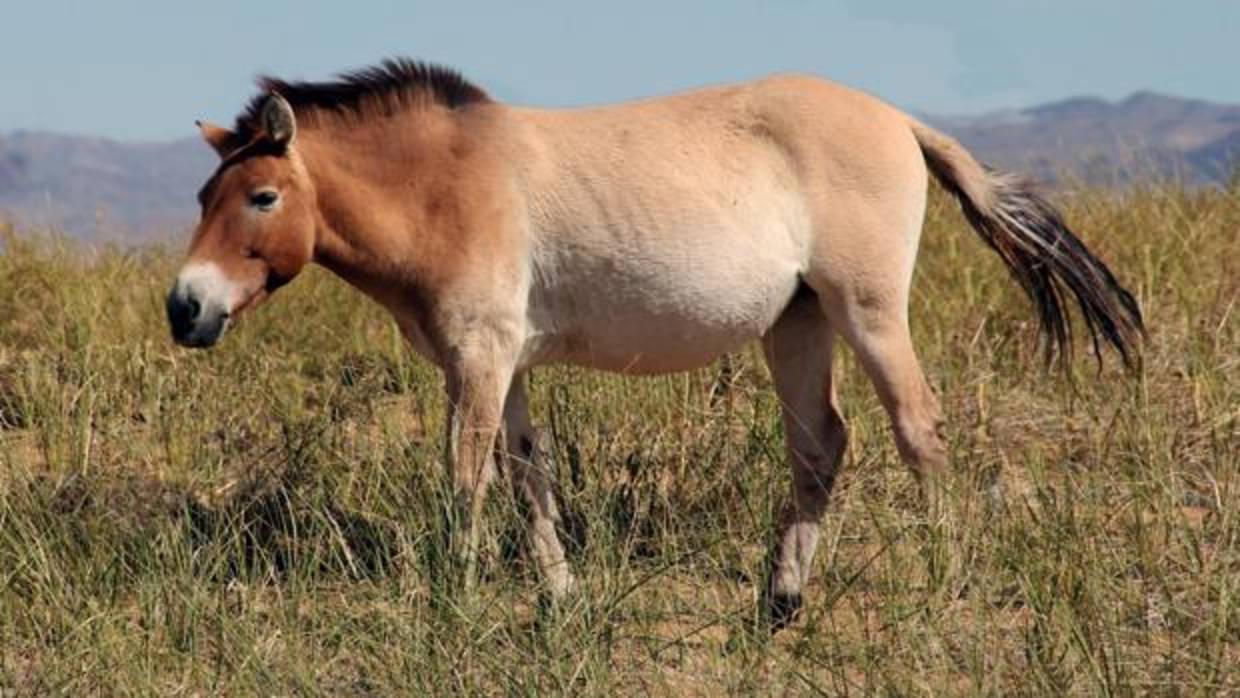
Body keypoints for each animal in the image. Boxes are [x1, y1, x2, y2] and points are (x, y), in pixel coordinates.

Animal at [167, 60, 1140, 627]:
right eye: (202, 197)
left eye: (260, 197)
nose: (186, 308)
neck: (449, 184)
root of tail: (899, 118)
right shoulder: (504, 365)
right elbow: (528, 475)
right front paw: (559, 599)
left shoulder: (478, 360)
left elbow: (466, 478)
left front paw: (453, 595)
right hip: (798, 324)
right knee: (822, 445)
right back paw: (780, 602)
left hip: (867, 313)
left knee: (919, 432)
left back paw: (942, 581)